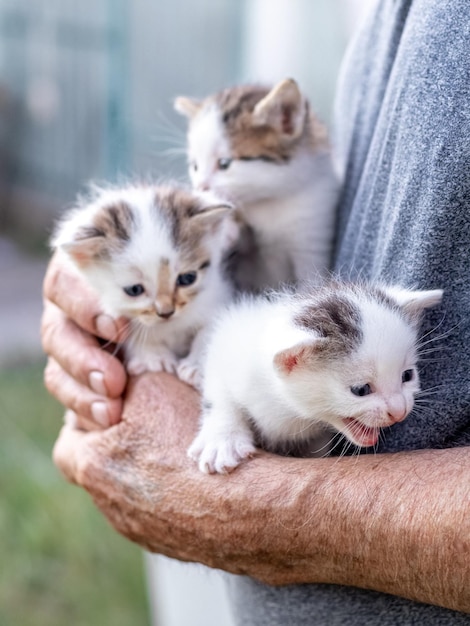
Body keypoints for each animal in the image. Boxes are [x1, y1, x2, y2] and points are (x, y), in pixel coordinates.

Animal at [51, 182, 233, 386]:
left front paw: (197, 365)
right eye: (134, 290)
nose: (166, 312)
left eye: (187, 278)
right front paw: (155, 358)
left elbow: (212, 328)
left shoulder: (217, 296)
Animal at [174, 78, 340, 292]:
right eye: (195, 166)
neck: (271, 199)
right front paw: (226, 228)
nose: (200, 186)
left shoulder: (313, 237)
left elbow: (311, 278)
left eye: (224, 163)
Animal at [186, 280, 440, 470]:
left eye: (407, 376)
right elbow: (221, 392)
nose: (399, 411)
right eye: (361, 390)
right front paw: (222, 439)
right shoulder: (228, 345)